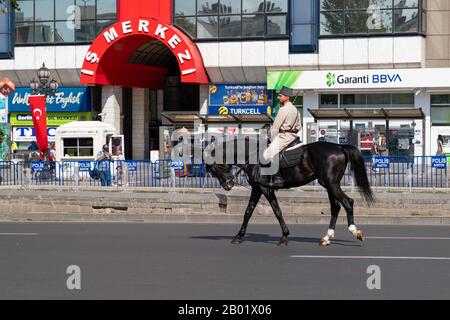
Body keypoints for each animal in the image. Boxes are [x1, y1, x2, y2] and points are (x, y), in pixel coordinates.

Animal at [206, 136, 374, 246]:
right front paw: (239, 236)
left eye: (213, 168)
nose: (228, 185)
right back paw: (327, 237)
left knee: (347, 202)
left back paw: (355, 231)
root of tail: (339, 147)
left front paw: (284, 236)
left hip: (331, 184)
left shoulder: (265, 188)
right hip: (329, 185)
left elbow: (277, 211)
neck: (252, 156)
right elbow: (248, 212)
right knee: (336, 207)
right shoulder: (257, 189)